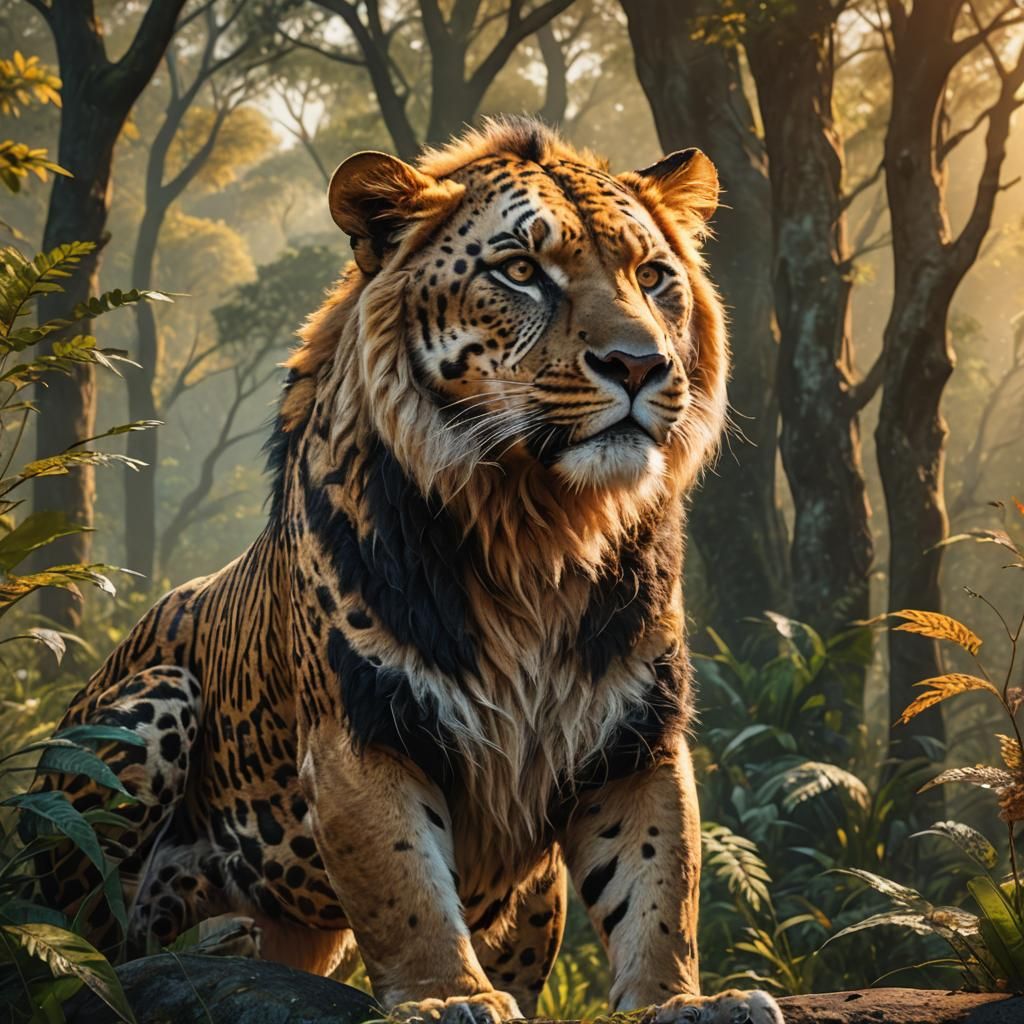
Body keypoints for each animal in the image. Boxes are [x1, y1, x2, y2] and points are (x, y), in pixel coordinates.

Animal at [40, 117, 782, 1024]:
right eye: (522, 271)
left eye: (651, 277)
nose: (640, 365)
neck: (542, 533)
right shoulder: (363, 727)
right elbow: (405, 884)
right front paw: (447, 997)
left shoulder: (637, 733)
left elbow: (659, 883)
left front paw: (679, 1002)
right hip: (153, 702)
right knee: (92, 945)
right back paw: (212, 940)